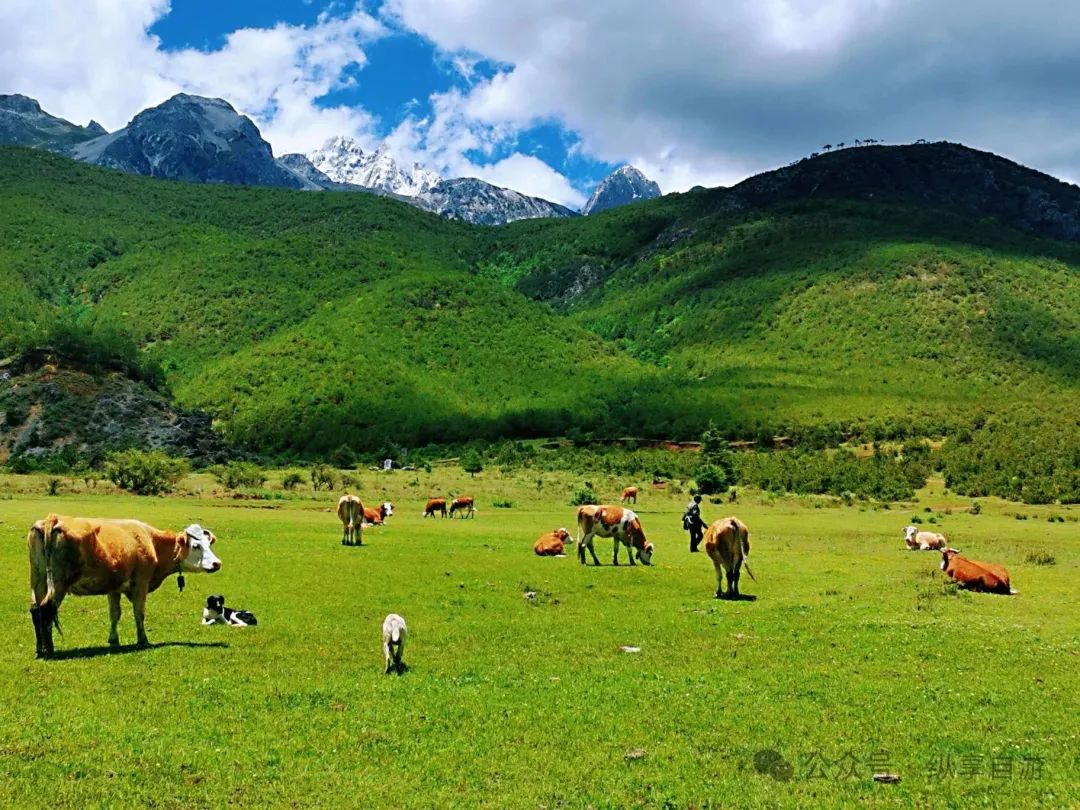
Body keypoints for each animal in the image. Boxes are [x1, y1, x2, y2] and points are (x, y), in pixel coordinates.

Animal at [26, 514, 219, 660]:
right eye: (196, 546)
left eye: (209, 544)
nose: (217, 563)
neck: (151, 541)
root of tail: (53, 519)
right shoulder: (141, 583)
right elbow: (139, 613)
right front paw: (142, 640)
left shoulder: (114, 588)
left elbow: (114, 614)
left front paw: (113, 639)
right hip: (58, 583)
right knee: (46, 609)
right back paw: (49, 650)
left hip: (38, 580)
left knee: (36, 610)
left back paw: (40, 649)